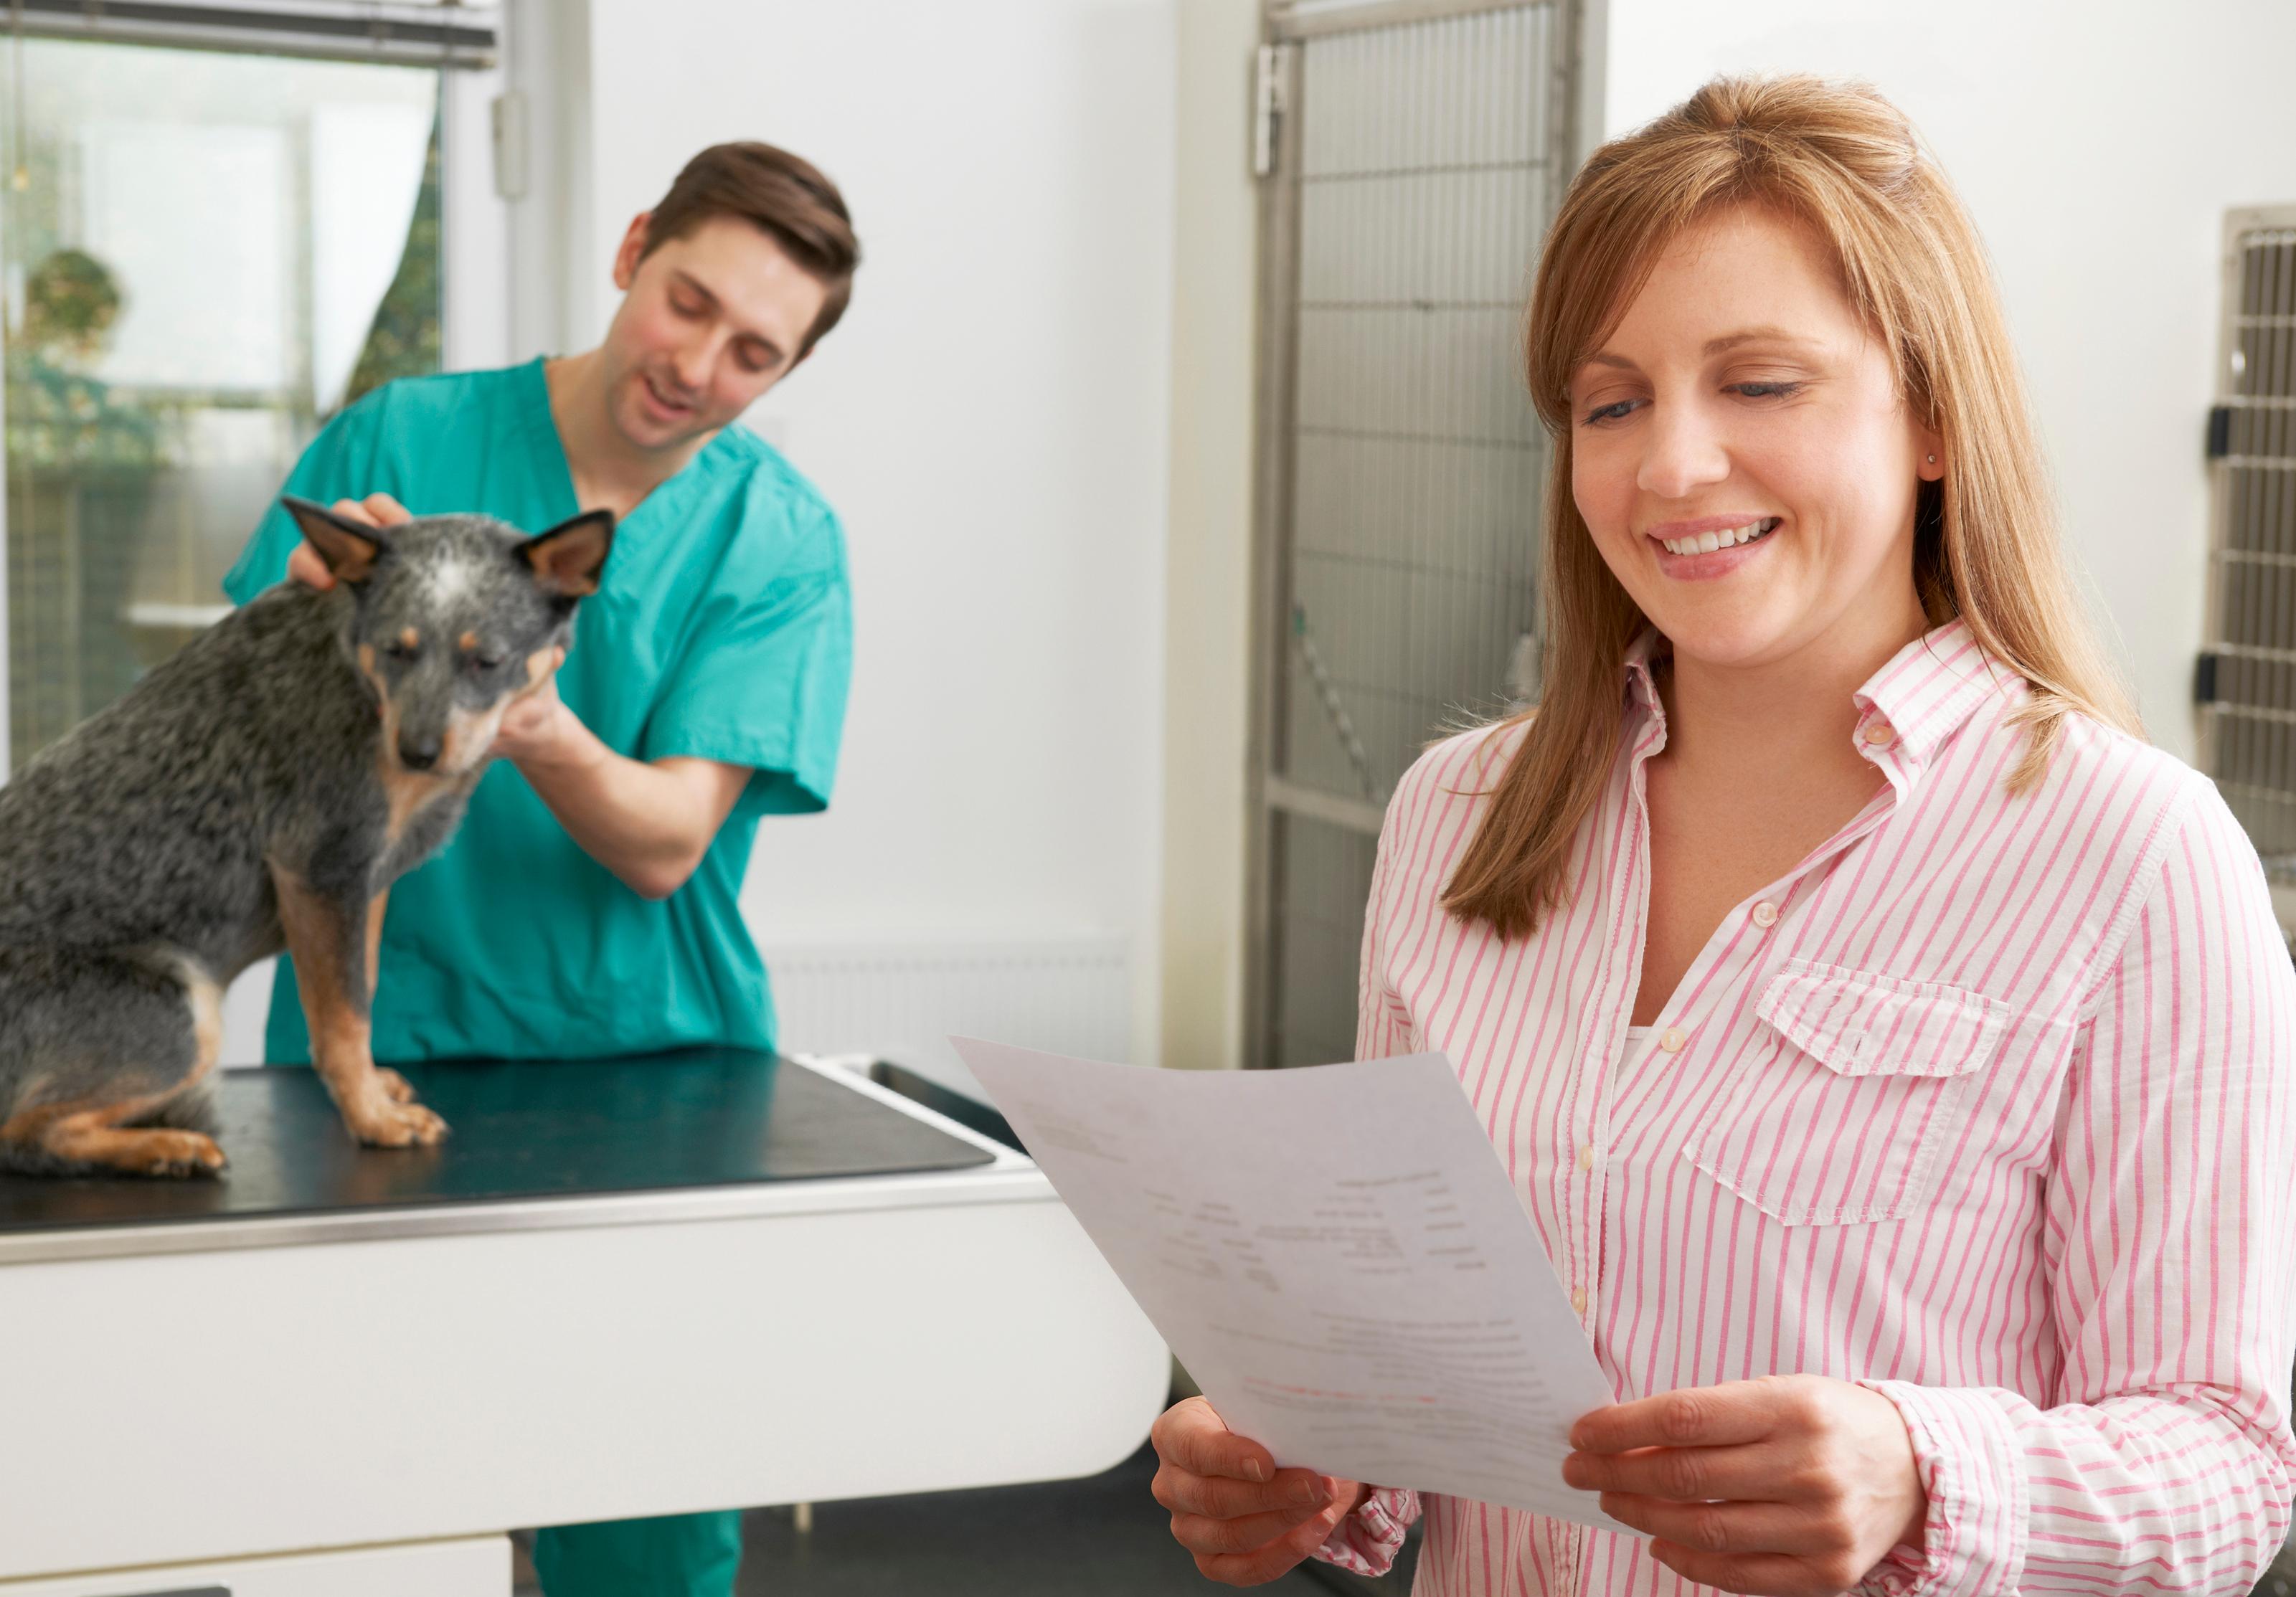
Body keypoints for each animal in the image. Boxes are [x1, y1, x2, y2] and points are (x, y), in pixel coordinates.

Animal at [0, 493, 615, 1175]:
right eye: (396, 650)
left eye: (487, 660)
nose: (417, 752)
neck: (358, 681)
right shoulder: (319, 868)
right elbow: (342, 1021)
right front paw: (372, 1118)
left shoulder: (365, 883)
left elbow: (359, 993)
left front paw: (374, 1089)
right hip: (188, 1006)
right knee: (24, 1136)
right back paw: (169, 1147)